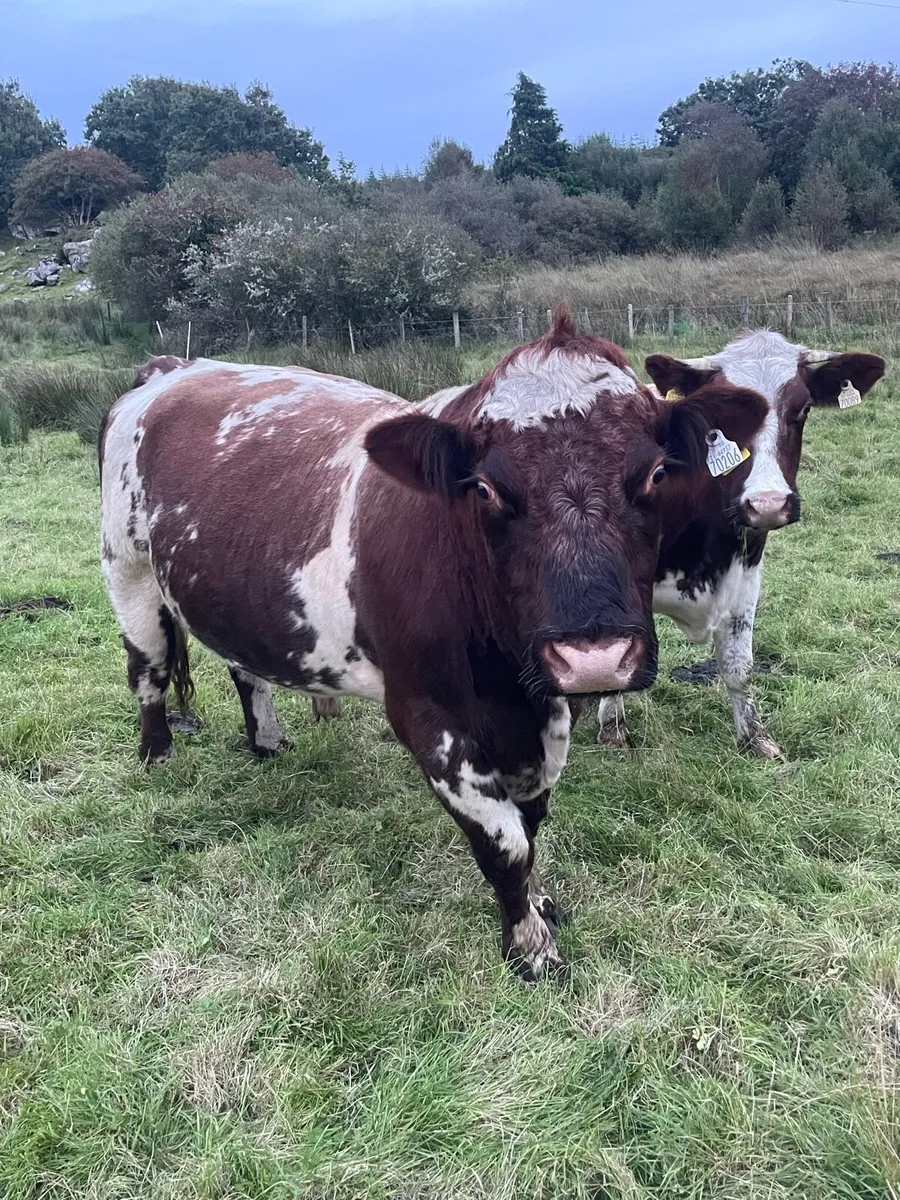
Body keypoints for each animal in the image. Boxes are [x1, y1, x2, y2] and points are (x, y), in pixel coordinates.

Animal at [99, 311, 768, 981]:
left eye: (656, 474)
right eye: (486, 489)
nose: (594, 657)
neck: (504, 680)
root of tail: (173, 368)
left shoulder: (549, 708)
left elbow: (531, 822)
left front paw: (540, 903)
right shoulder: (429, 718)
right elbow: (504, 844)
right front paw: (529, 945)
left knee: (245, 668)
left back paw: (266, 740)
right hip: (128, 571)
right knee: (148, 671)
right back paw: (158, 754)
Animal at [593, 331, 886, 757]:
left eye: (803, 408)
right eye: (721, 420)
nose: (767, 503)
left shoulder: (746, 573)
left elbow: (738, 665)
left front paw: (754, 737)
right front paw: (612, 728)